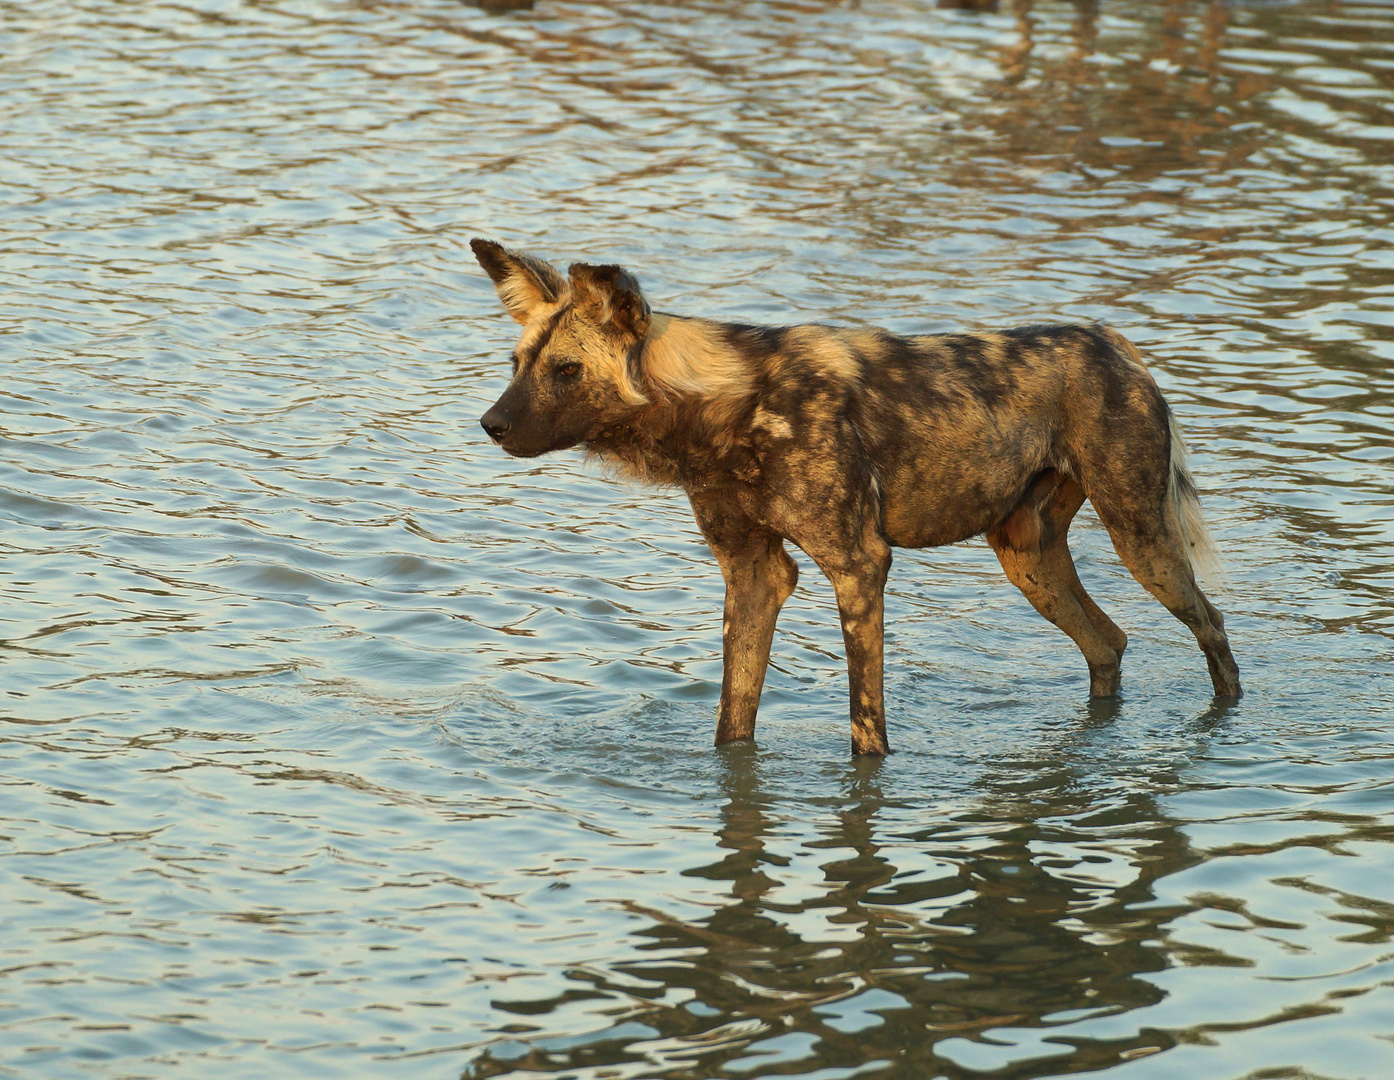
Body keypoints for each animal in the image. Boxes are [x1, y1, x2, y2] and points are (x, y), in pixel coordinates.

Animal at [471, 239, 1243, 758]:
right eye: (516, 365)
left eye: (566, 371)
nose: (491, 425)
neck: (724, 410)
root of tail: (1110, 339)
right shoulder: (753, 574)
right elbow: (733, 723)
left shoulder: (858, 565)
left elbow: (865, 729)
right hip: (1028, 560)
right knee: (1108, 642)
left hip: (1141, 539)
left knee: (1213, 630)